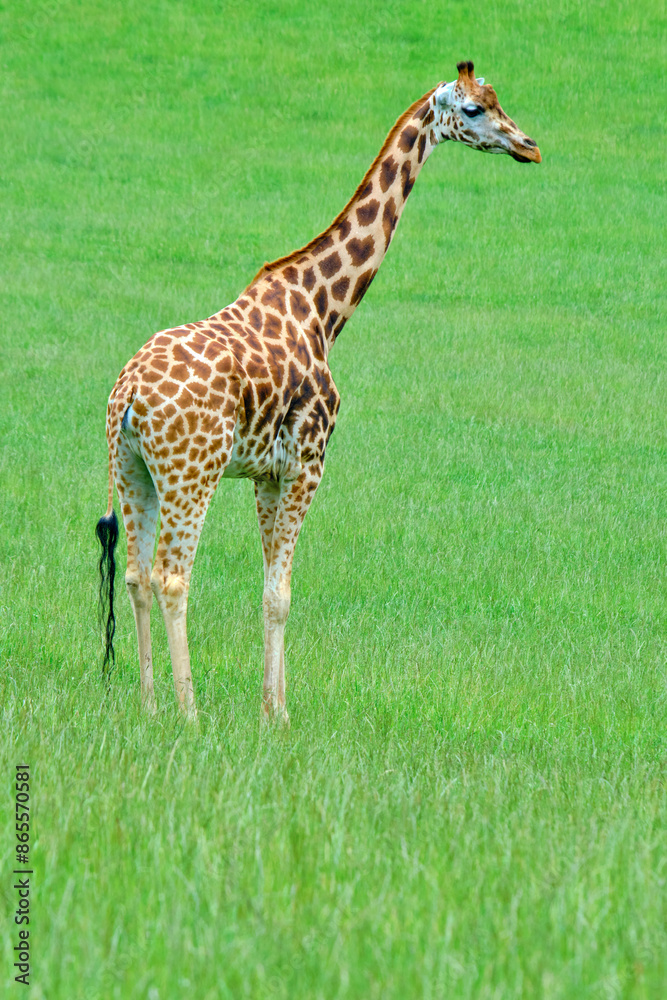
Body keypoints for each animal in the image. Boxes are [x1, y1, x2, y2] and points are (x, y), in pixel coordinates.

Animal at [96, 61, 541, 724]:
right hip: (190, 471)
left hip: (132, 468)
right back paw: (188, 712)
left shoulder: (266, 472)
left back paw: (150, 706)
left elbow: (268, 591)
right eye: (474, 110)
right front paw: (278, 717)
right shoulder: (309, 460)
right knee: (171, 578)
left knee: (133, 572)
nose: (529, 146)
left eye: (497, 98)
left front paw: (269, 709)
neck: (324, 310)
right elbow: (281, 593)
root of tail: (127, 396)